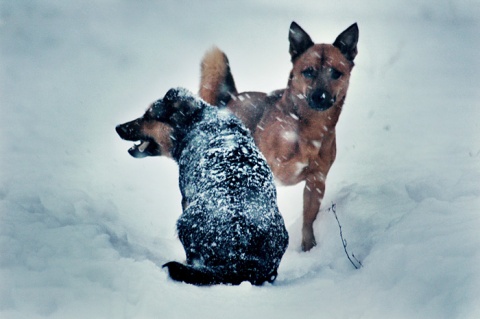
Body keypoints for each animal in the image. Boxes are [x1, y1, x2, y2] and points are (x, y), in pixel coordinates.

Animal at [116, 88, 288, 288]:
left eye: (148, 116)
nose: (118, 127)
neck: (197, 120)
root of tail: (245, 257)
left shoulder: (186, 198)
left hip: (185, 222)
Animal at [197, 22, 358, 252]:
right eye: (308, 72)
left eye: (336, 73)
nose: (320, 97)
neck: (308, 129)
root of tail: (229, 100)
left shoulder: (316, 181)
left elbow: (308, 220)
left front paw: (309, 248)